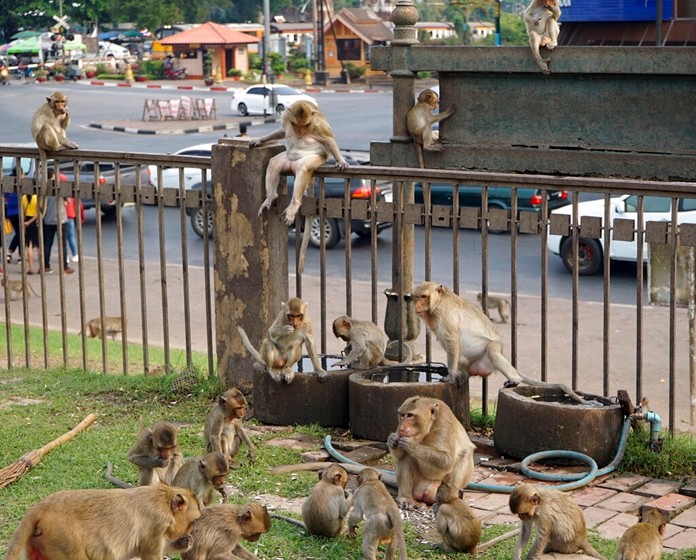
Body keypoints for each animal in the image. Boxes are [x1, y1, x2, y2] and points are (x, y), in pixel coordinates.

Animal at [4, 484, 201, 556]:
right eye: (193, 522)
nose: (192, 530)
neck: (163, 498)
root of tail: (42, 505)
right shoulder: (156, 525)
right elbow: (150, 555)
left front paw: (183, 543)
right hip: (62, 537)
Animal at [251, 101, 346, 276]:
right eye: (297, 125)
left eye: (306, 125)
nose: (301, 132)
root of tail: (292, 165)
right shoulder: (286, 118)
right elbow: (282, 131)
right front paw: (259, 140)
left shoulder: (317, 126)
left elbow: (329, 140)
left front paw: (341, 160)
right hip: (286, 160)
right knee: (274, 163)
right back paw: (270, 197)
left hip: (313, 159)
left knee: (303, 169)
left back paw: (294, 204)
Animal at [414, 282, 588, 404]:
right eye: (416, 297)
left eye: (424, 296)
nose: (416, 306)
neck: (438, 302)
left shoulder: (444, 314)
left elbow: (452, 341)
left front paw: (450, 377)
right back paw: (464, 375)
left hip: (494, 349)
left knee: (492, 350)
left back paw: (515, 379)